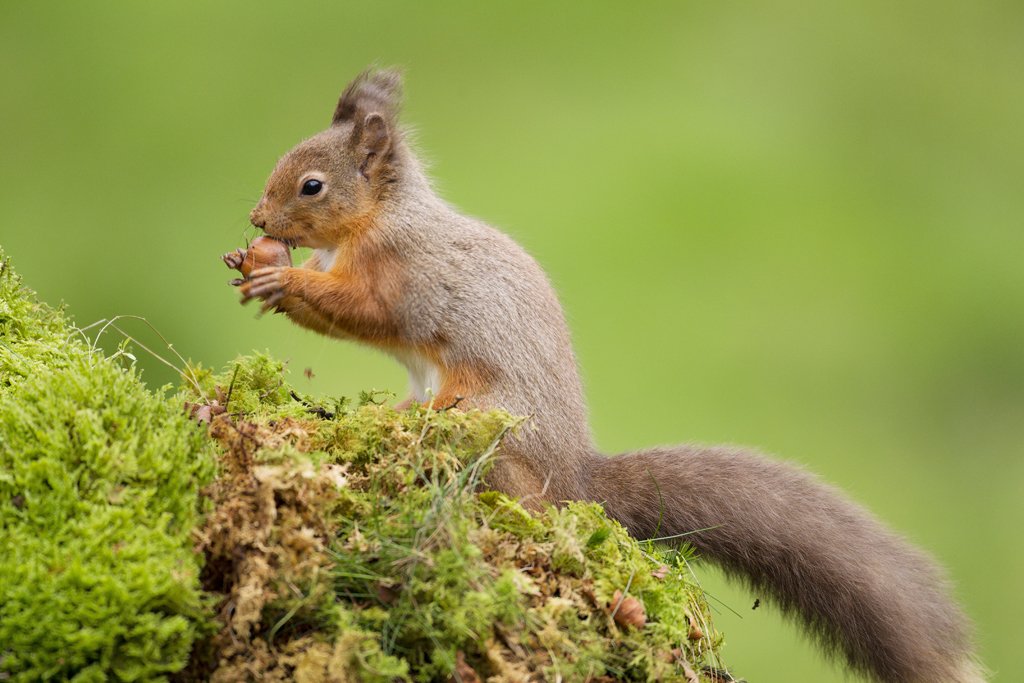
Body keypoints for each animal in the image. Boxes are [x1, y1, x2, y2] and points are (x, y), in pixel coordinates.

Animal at [222, 70, 983, 683]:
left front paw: (282, 279)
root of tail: (572, 478)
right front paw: (254, 265)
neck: (384, 216)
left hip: (484, 422)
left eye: (312, 185)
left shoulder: (402, 274)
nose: (256, 218)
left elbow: (364, 309)